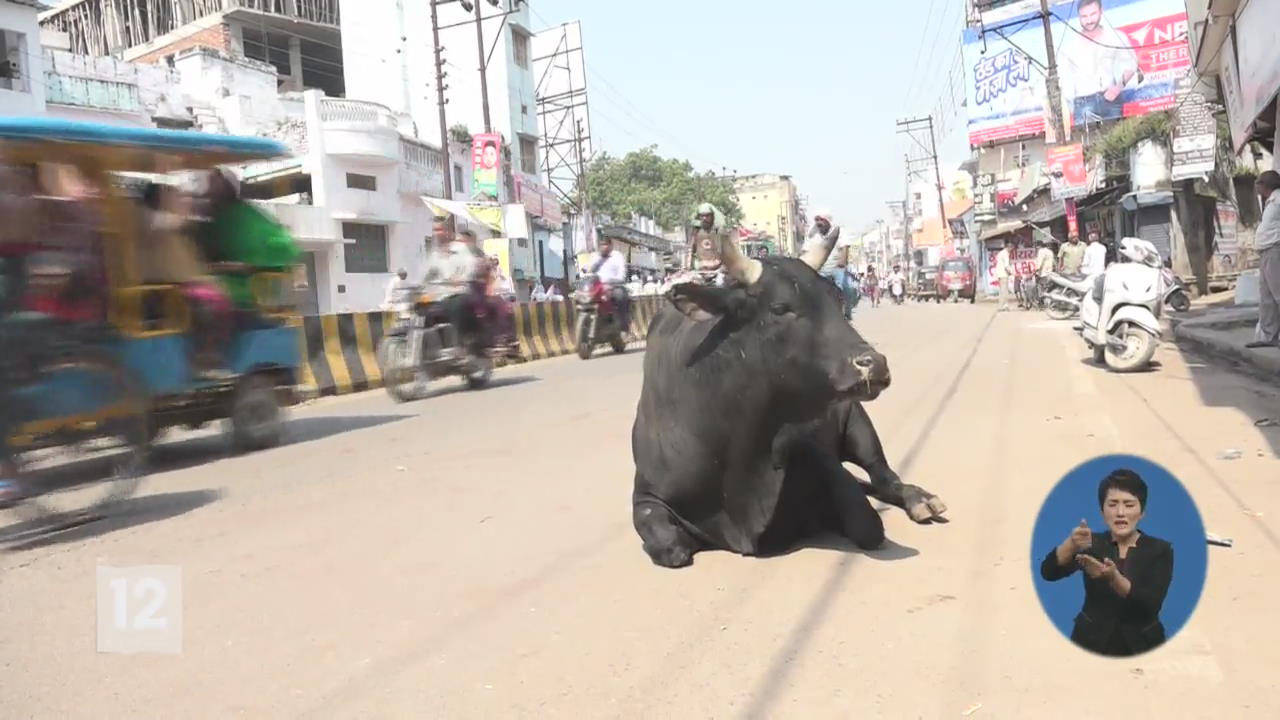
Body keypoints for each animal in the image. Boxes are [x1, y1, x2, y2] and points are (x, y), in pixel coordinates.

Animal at [632, 239, 947, 566]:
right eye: (780, 308)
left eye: (837, 299)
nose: (874, 364)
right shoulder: (645, 496)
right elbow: (672, 547)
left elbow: (867, 524)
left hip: (859, 425)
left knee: (883, 477)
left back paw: (921, 500)